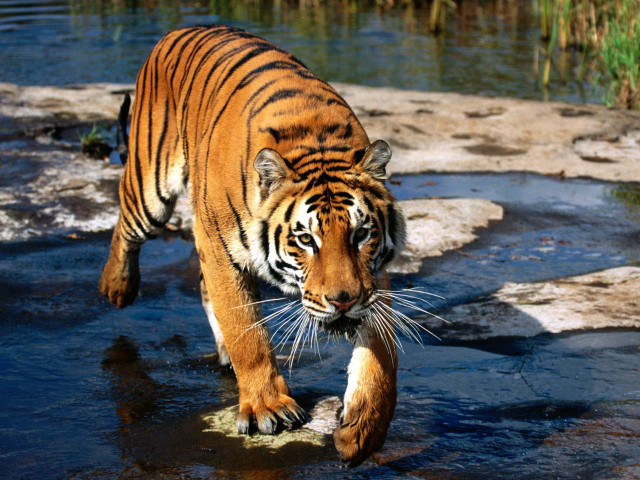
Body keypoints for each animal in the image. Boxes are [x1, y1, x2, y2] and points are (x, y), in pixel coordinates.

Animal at [99, 24, 406, 467]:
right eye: (305, 239)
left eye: (361, 234)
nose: (343, 301)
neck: (315, 143)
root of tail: (178, 29)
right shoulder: (218, 247)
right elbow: (247, 331)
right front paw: (266, 408)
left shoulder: (371, 278)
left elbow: (382, 356)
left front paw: (363, 430)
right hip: (150, 183)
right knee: (125, 224)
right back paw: (117, 286)